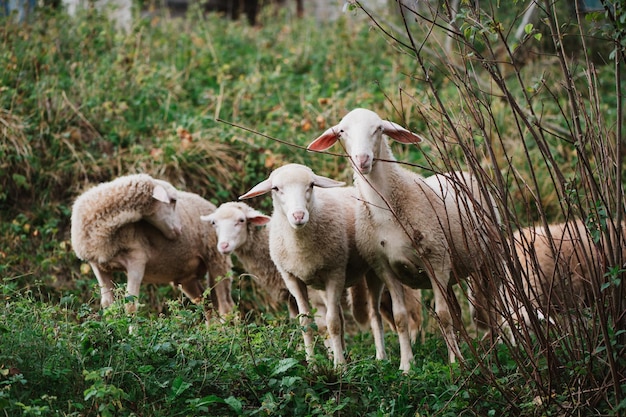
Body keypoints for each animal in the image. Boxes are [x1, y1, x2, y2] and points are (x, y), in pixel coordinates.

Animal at [69, 172, 234, 318]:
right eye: (172, 200)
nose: (180, 230)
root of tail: (212, 206)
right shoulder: (97, 265)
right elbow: (108, 304)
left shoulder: (137, 259)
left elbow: (130, 305)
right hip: (187, 276)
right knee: (206, 304)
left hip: (217, 258)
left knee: (226, 307)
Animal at [238, 163, 388, 368]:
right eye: (276, 188)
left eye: (311, 185)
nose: (298, 215)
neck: (300, 247)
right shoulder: (292, 278)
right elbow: (305, 323)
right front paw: (313, 365)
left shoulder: (335, 273)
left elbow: (333, 323)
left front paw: (340, 367)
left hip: (373, 269)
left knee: (374, 314)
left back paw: (381, 358)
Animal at [308, 107, 498, 370]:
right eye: (342, 131)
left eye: (378, 129)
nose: (362, 159)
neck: (387, 209)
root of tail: (462, 172)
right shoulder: (385, 268)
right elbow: (400, 318)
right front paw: (406, 365)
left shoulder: (436, 261)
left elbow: (443, 315)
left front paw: (456, 363)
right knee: (456, 310)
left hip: (489, 256)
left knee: (492, 301)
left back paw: (497, 344)